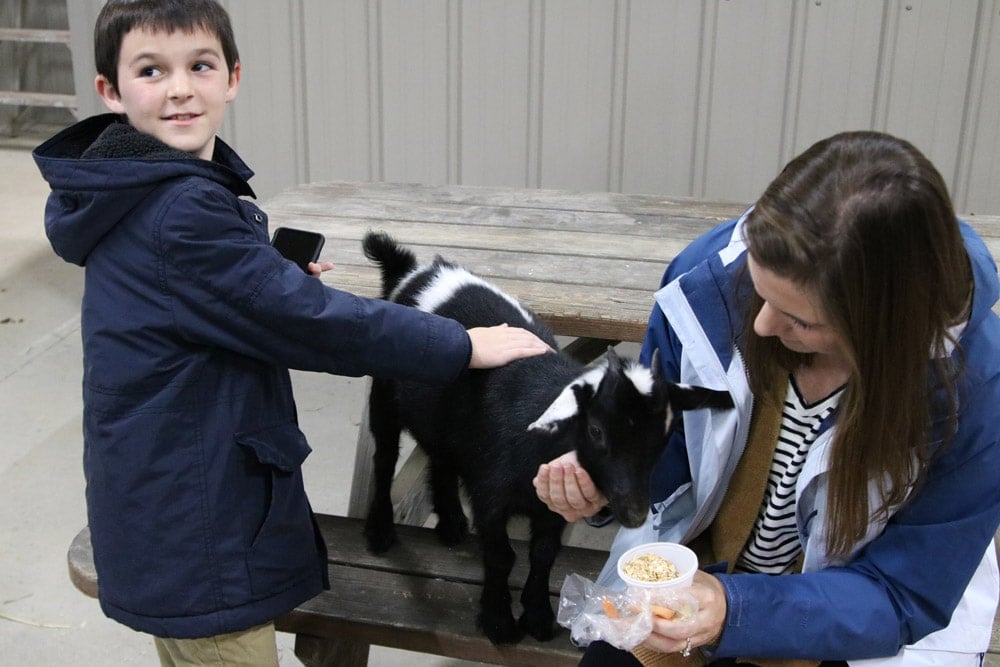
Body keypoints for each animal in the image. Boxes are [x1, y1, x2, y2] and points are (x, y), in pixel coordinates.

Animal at [364, 232, 732, 644]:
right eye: (596, 430)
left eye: (664, 436)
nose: (635, 513)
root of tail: (416, 272)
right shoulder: (491, 496)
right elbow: (502, 556)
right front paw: (498, 621)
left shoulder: (551, 506)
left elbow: (543, 553)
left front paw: (538, 615)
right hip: (384, 395)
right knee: (385, 457)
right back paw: (380, 530)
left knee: (440, 455)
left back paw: (451, 524)